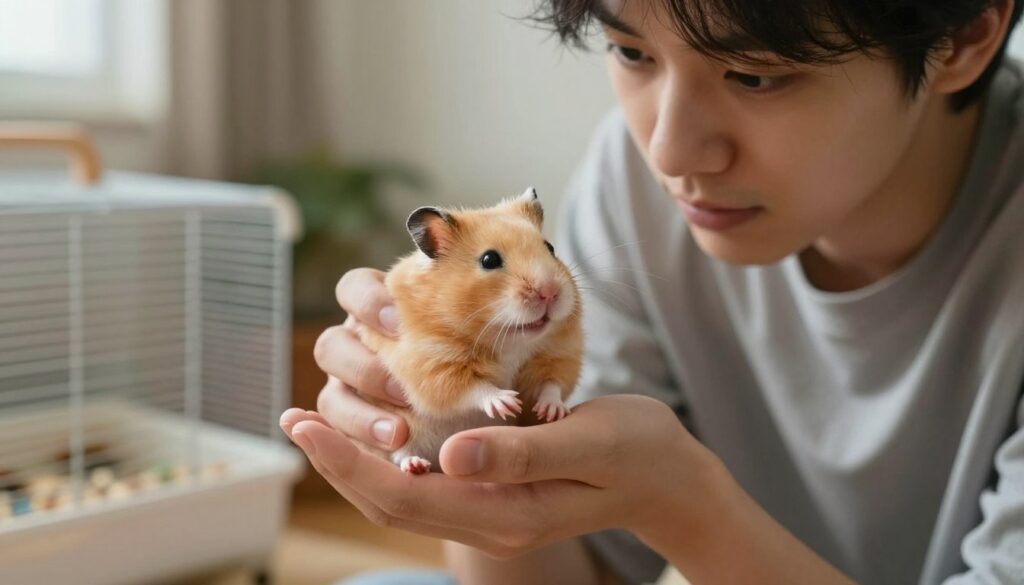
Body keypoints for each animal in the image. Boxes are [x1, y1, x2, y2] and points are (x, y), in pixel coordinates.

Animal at [355, 187, 583, 474]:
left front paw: (551, 410)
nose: (550, 292)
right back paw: (416, 465)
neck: (509, 340)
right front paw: (506, 402)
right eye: (489, 259)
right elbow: (472, 388)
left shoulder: (560, 353)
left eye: (550, 248)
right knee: (398, 452)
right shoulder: (433, 366)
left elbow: (552, 382)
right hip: (401, 428)